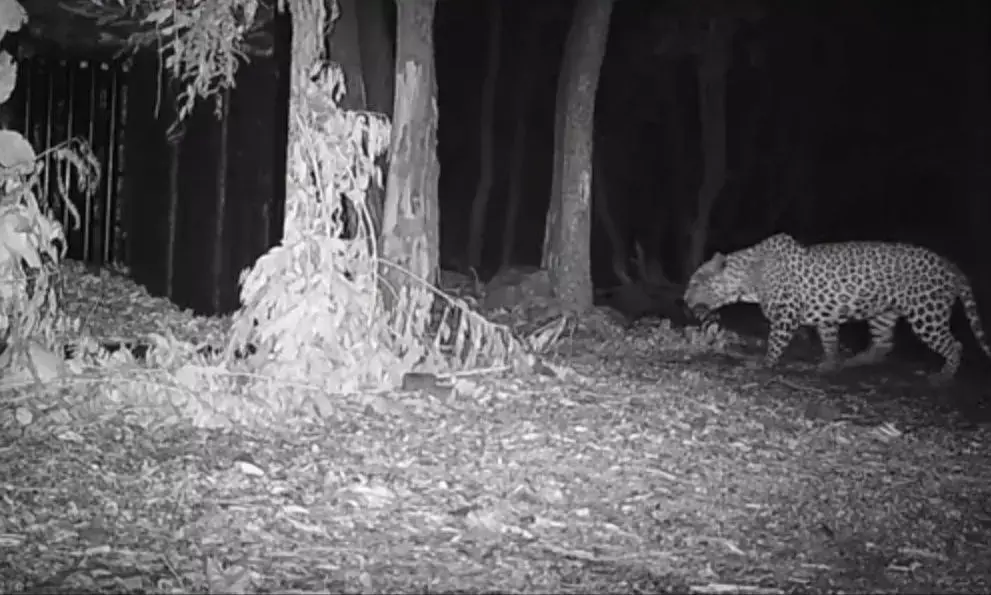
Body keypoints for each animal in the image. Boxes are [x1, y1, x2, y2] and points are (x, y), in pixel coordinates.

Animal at [683, 233, 991, 383]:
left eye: (696, 282)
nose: (685, 299)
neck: (749, 278)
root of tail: (952, 266)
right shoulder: (826, 316)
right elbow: (830, 340)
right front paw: (830, 364)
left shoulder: (786, 314)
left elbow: (775, 343)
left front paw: (764, 364)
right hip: (882, 313)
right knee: (883, 343)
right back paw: (853, 361)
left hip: (927, 314)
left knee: (955, 344)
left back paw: (943, 377)